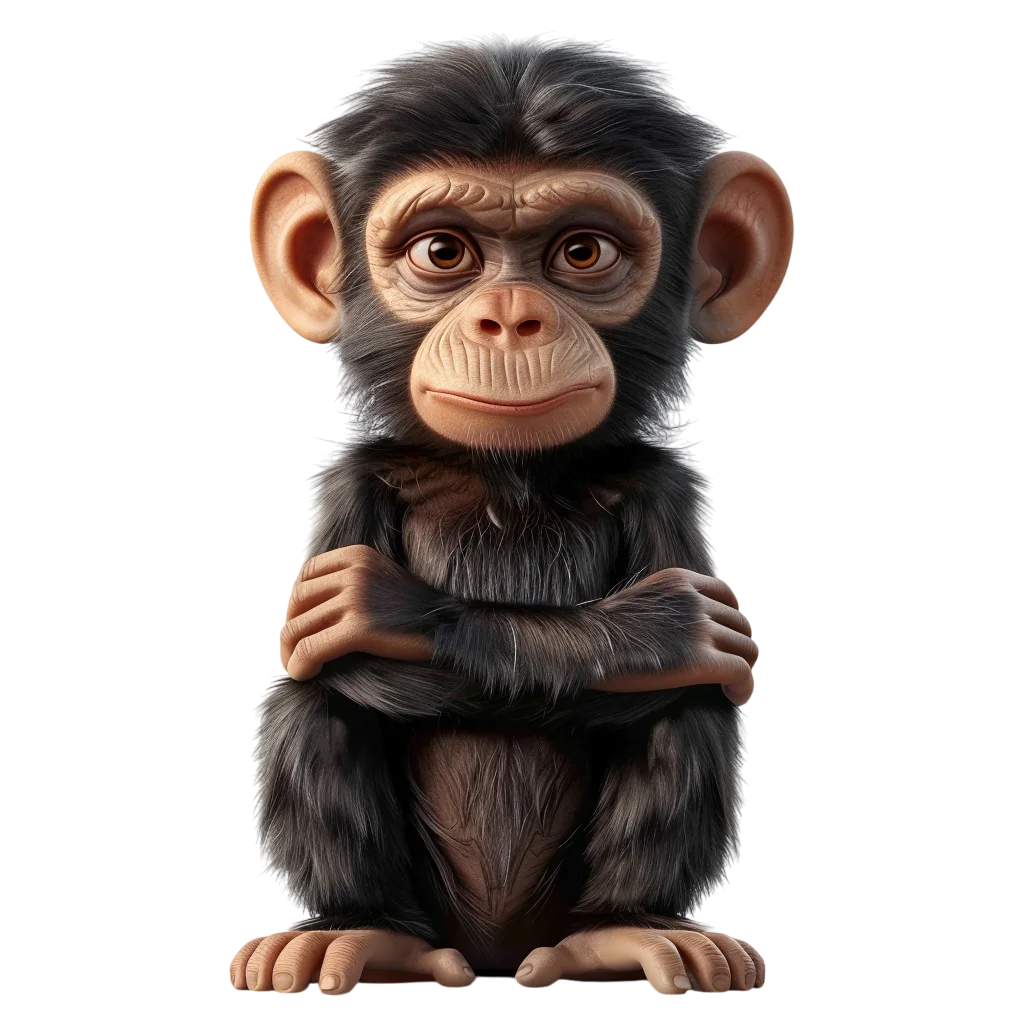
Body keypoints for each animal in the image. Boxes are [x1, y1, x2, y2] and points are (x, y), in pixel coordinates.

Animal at [234, 37, 789, 997]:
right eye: (444, 251)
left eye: (582, 251)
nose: (512, 319)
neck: (509, 480)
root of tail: (495, 951)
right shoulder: (347, 480)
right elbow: (330, 646)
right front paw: (385, 613)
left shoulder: (664, 485)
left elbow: (691, 653)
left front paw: (666, 626)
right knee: (315, 696)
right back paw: (360, 932)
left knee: (683, 706)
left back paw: (626, 931)